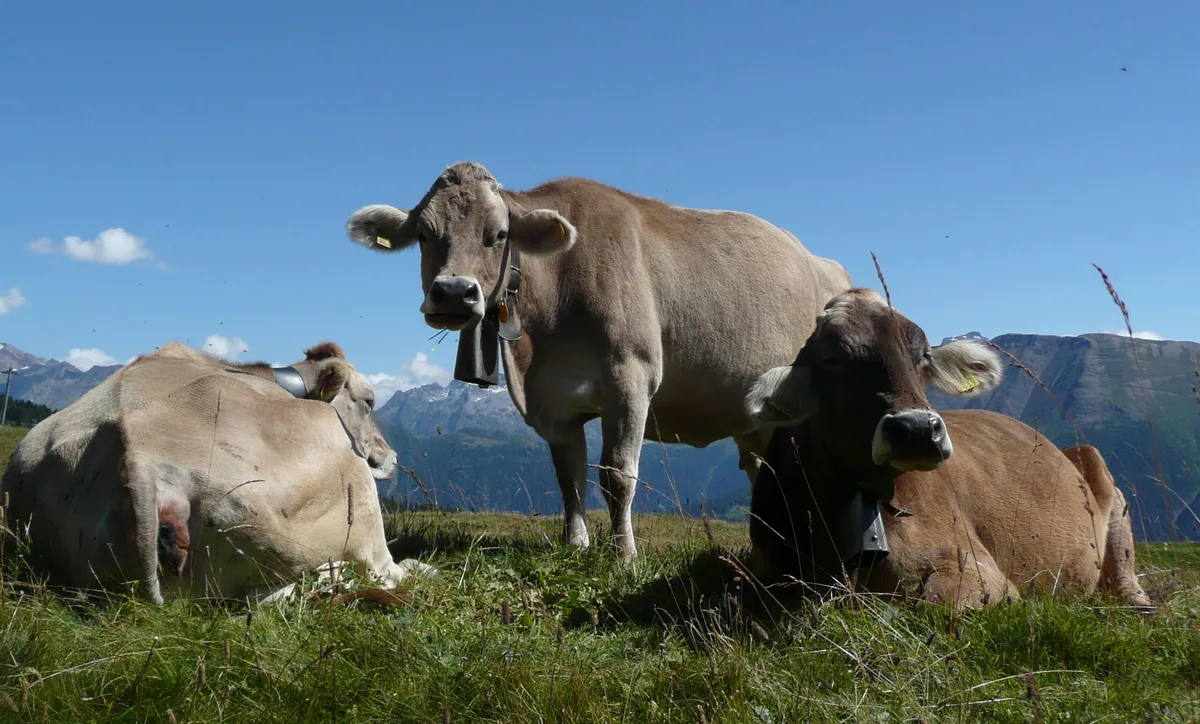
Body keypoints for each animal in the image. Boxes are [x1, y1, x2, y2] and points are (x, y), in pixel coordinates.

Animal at [344, 161, 852, 560]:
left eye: (499, 234)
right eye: (424, 234)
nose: (453, 292)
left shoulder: (631, 377)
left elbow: (617, 474)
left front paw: (624, 555)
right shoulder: (554, 401)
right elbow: (569, 477)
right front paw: (577, 544)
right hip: (755, 423)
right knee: (764, 471)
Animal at [741, 287, 1152, 610]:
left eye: (922, 355)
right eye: (832, 358)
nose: (917, 430)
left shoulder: (976, 567)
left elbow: (934, 605)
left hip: (1103, 481)